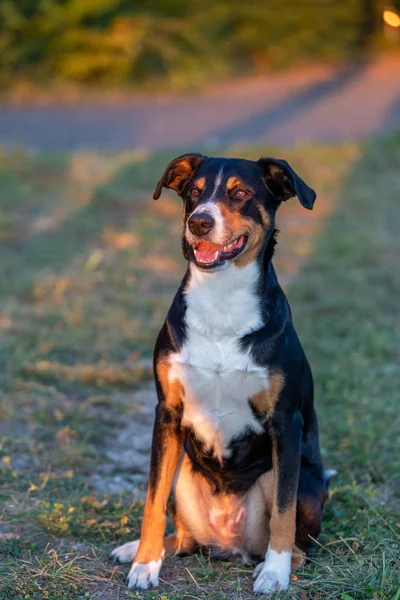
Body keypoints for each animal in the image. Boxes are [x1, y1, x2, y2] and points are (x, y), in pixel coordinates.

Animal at [110, 154, 332, 596]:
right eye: (194, 192)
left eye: (240, 192)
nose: (199, 222)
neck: (221, 302)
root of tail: (230, 545)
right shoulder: (167, 413)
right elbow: (151, 500)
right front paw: (145, 563)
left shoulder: (286, 423)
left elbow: (282, 513)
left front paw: (275, 574)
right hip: (183, 476)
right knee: (181, 535)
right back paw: (139, 550)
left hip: (303, 482)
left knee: (299, 543)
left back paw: (272, 564)